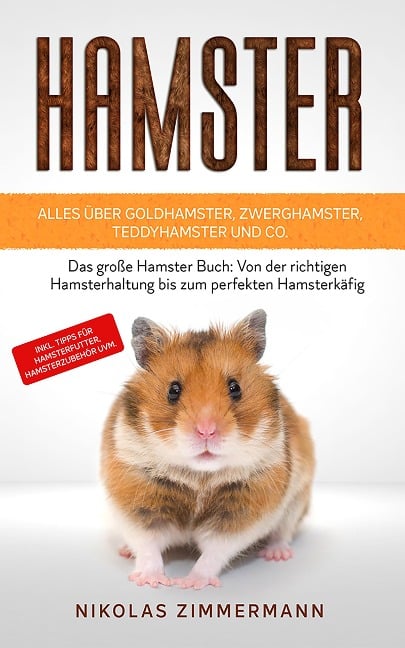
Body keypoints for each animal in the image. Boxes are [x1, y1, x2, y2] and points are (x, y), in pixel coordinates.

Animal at [101, 310, 315, 589]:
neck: (199, 476)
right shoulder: (136, 501)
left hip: (298, 500)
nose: (206, 431)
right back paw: (125, 551)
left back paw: (276, 554)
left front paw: (190, 583)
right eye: (173, 390)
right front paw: (150, 581)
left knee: (283, 531)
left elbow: (214, 552)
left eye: (235, 388)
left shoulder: (243, 512)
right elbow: (147, 545)